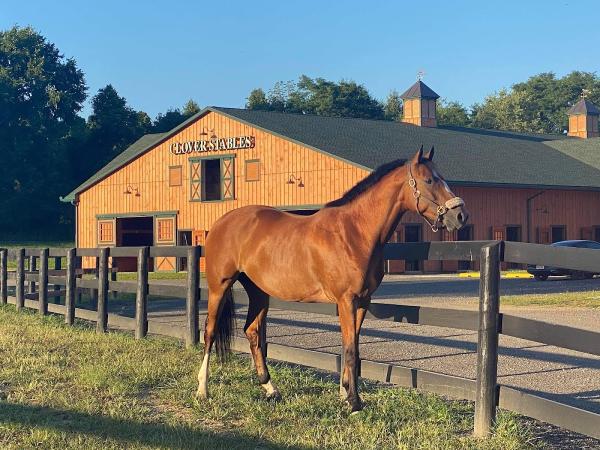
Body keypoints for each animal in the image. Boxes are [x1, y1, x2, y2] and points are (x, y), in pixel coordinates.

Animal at [197, 145, 468, 412]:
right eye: (429, 180)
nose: (460, 216)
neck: (354, 232)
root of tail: (220, 223)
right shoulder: (346, 300)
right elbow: (349, 350)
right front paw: (355, 403)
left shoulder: (362, 301)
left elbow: (353, 346)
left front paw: (345, 394)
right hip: (219, 287)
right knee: (210, 331)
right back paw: (202, 390)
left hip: (259, 292)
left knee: (252, 331)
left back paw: (270, 388)